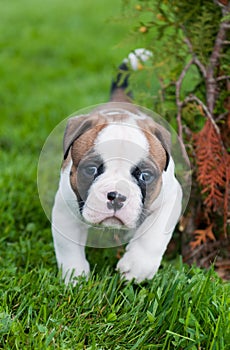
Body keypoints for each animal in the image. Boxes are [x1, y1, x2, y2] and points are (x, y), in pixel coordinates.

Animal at [51, 49, 182, 284]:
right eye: (91, 170)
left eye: (145, 176)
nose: (117, 196)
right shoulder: (66, 205)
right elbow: (68, 245)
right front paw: (75, 275)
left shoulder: (171, 195)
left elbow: (155, 234)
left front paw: (138, 266)